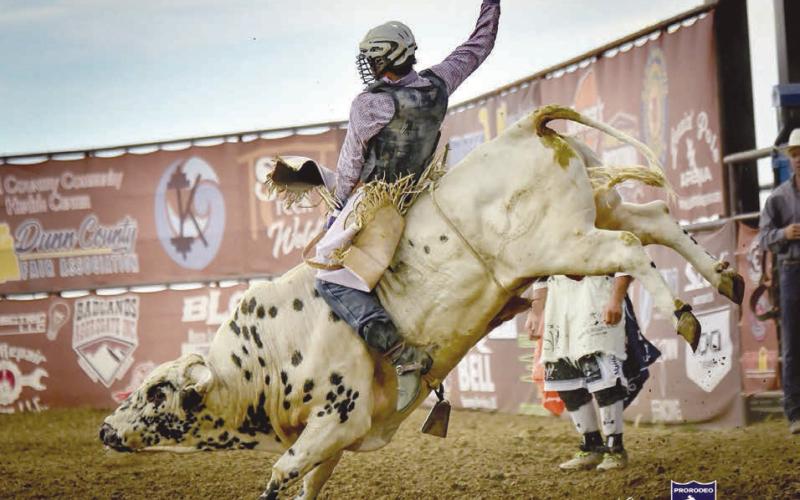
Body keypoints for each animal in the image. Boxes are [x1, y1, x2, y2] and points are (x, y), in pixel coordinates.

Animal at [100, 105, 743, 499]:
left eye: (156, 392)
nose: (106, 429)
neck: (264, 357)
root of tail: (527, 126)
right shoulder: (335, 437)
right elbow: (307, 480)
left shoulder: (339, 415)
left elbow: (282, 473)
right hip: (596, 213)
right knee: (654, 221)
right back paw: (725, 281)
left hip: (566, 243)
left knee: (632, 249)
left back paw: (688, 319)